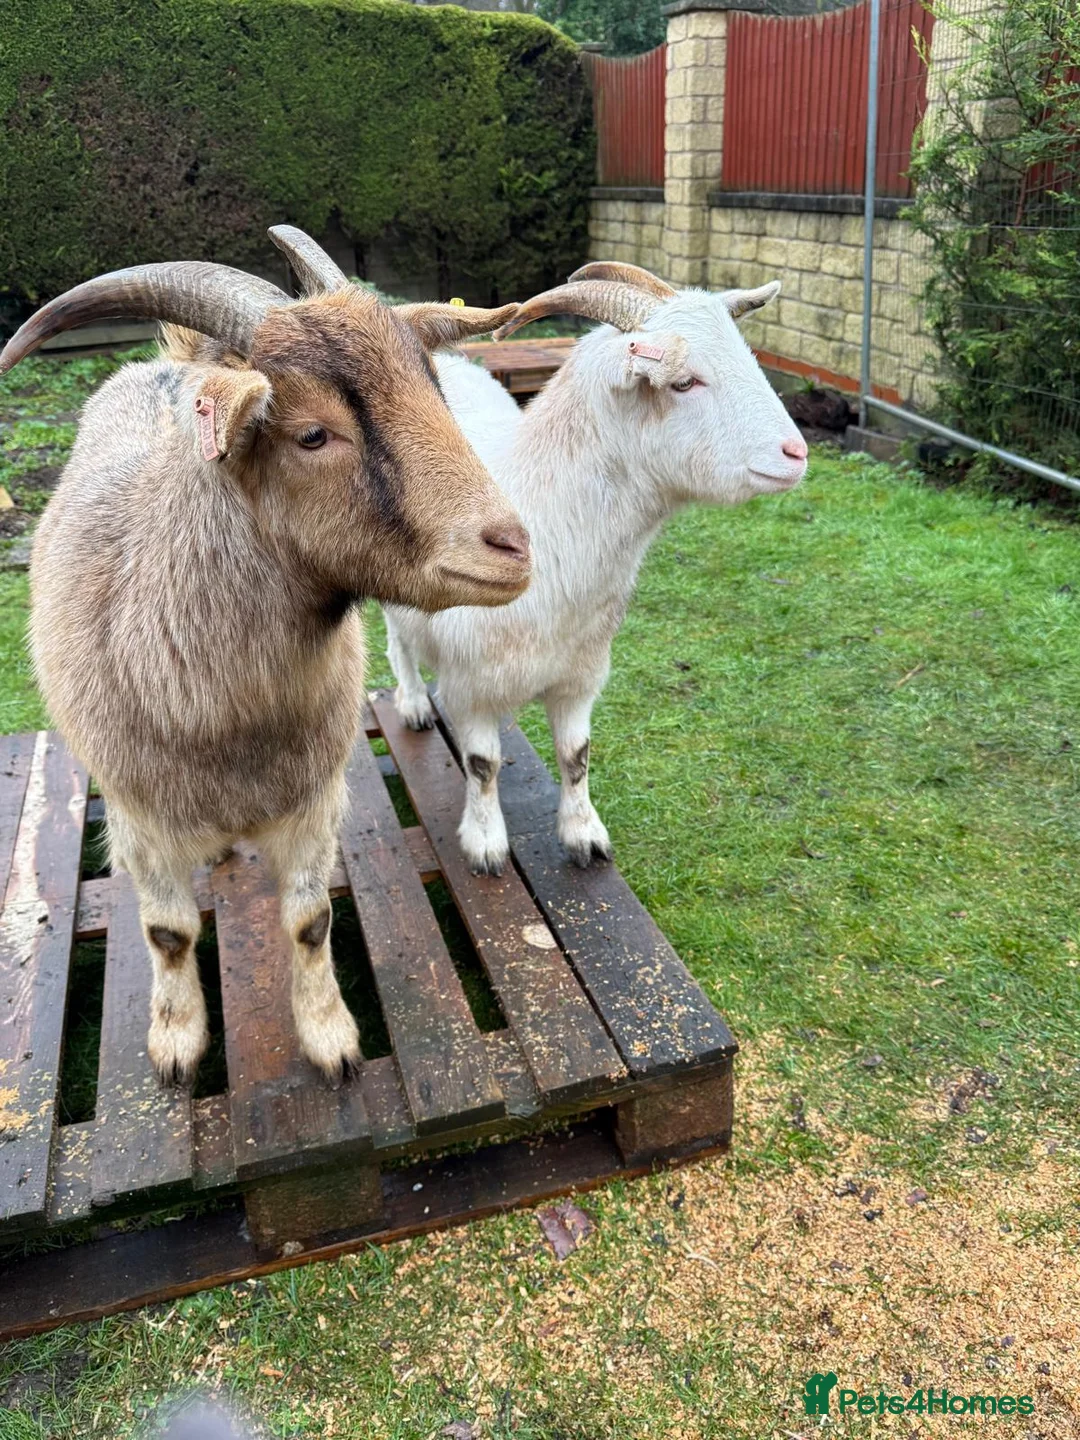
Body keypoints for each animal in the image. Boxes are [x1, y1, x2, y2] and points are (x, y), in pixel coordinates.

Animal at [0, 227, 531, 1084]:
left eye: (434, 394)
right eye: (312, 433)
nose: (511, 548)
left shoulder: (313, 802)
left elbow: (310, 920)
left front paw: (331, 1039)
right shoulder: (141, 816)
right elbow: (168, 933)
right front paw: (177, 1045)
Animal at [383, 261, 809, 874]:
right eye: (684, 383)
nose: (796, 454)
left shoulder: (581, 674)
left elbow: (576, 754)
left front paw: (584, 834)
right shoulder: (468, 686)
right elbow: (483, 765)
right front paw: (485, 843)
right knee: (397, 637)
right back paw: (413, 702)